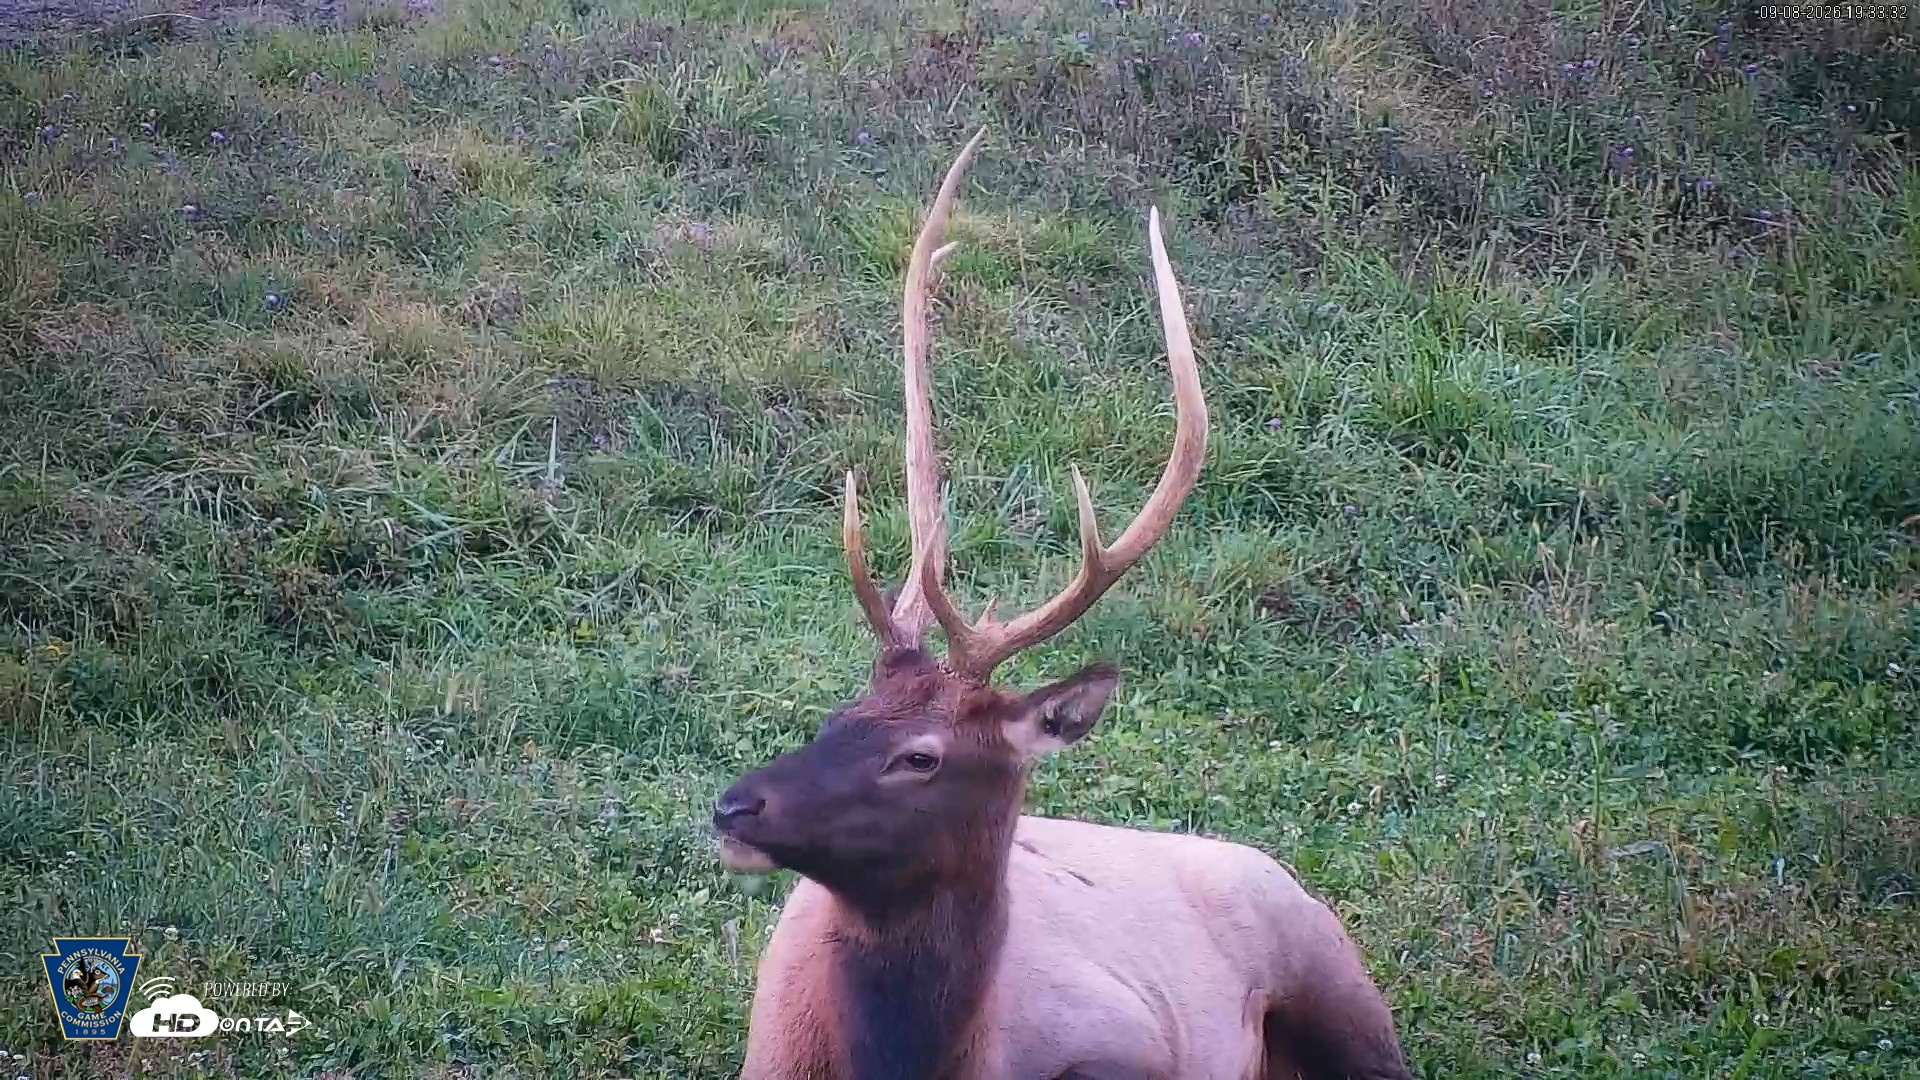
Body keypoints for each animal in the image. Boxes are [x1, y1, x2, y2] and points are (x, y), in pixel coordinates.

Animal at [711, 127, 1413, 1080]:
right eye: (834, 718)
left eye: (921, 757)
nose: (734, 807)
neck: (927, 1063)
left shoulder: (1132, 1042)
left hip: (1334, 972)